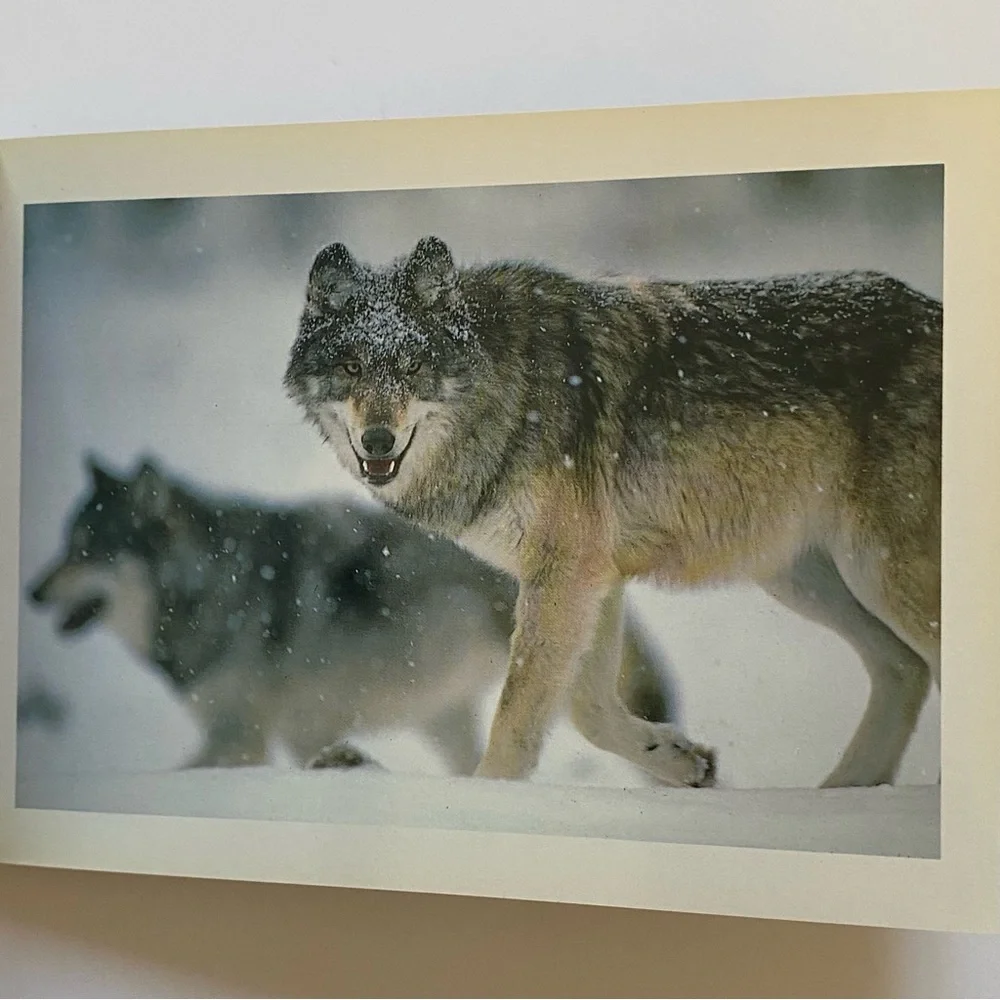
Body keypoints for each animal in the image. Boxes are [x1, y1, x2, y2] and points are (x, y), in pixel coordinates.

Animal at [27, 455, 677, 775]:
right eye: (66, 542)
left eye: (88, 549)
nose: (31, 592)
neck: (211, 586)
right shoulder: (293, 734)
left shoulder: (240, 740)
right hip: (443, 717)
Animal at [284, 235, 942, 789]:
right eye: (351, 368)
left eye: (414, 367)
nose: (378, 441)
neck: (509, 392)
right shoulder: (591, 573)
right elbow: (586, 708)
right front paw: (681, 762)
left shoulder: (566, 572)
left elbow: (520, 713)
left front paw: (488, 799)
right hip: (800, 576)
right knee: (904, 668)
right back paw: (843, 795)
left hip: (878, 572)